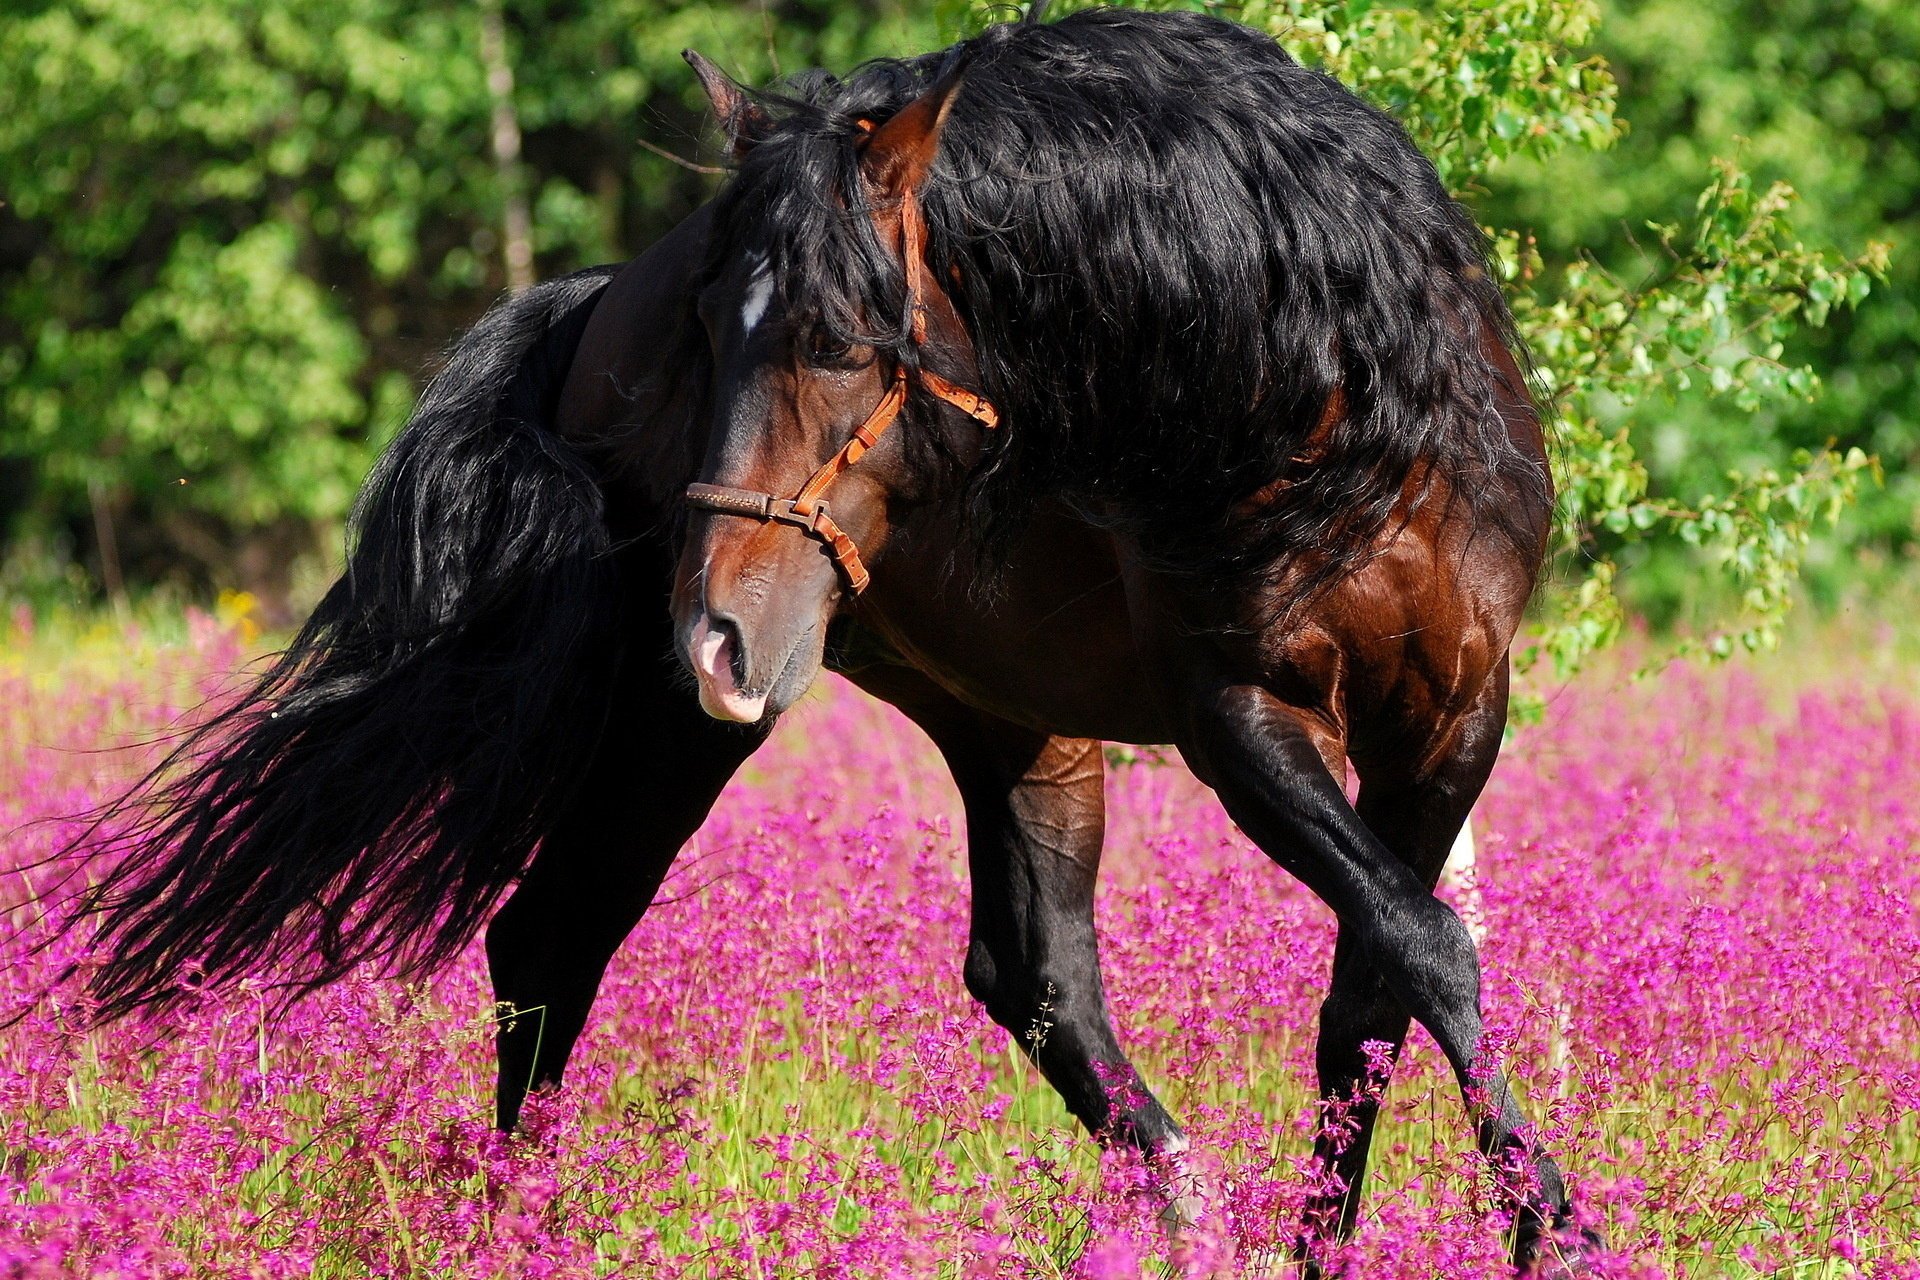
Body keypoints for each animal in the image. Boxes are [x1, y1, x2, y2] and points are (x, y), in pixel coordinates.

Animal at [66, 9, 1596, 1274]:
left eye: (845, 340)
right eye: (708, 335)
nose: (711, 632)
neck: (1311, 404)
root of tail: (589, 302)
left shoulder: (1452, 716)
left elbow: (1378, 985)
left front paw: (1355, 1239)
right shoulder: (1239, 717)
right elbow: (1420, 946)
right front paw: (1554, 1225)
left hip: (1003, 715)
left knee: (1036, 974)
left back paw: (1187, 1219)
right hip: (685, 725)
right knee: (555, 936)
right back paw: (523, 1233)